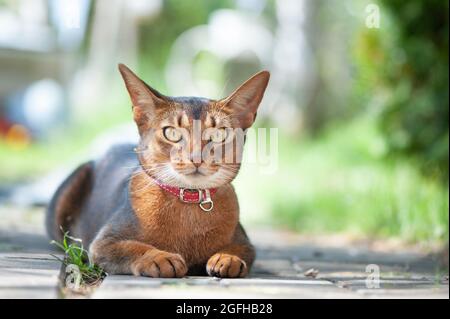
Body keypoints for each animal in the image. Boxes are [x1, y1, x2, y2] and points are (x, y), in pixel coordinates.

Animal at [46, 63, 270, 278]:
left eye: (218, 135)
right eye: (172, 133)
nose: (196, 157)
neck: (189, 205)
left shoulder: (245, 243)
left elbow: (240, 250)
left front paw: (228, 258)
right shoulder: (103, 243)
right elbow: (133, 247)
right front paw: (160, 258)